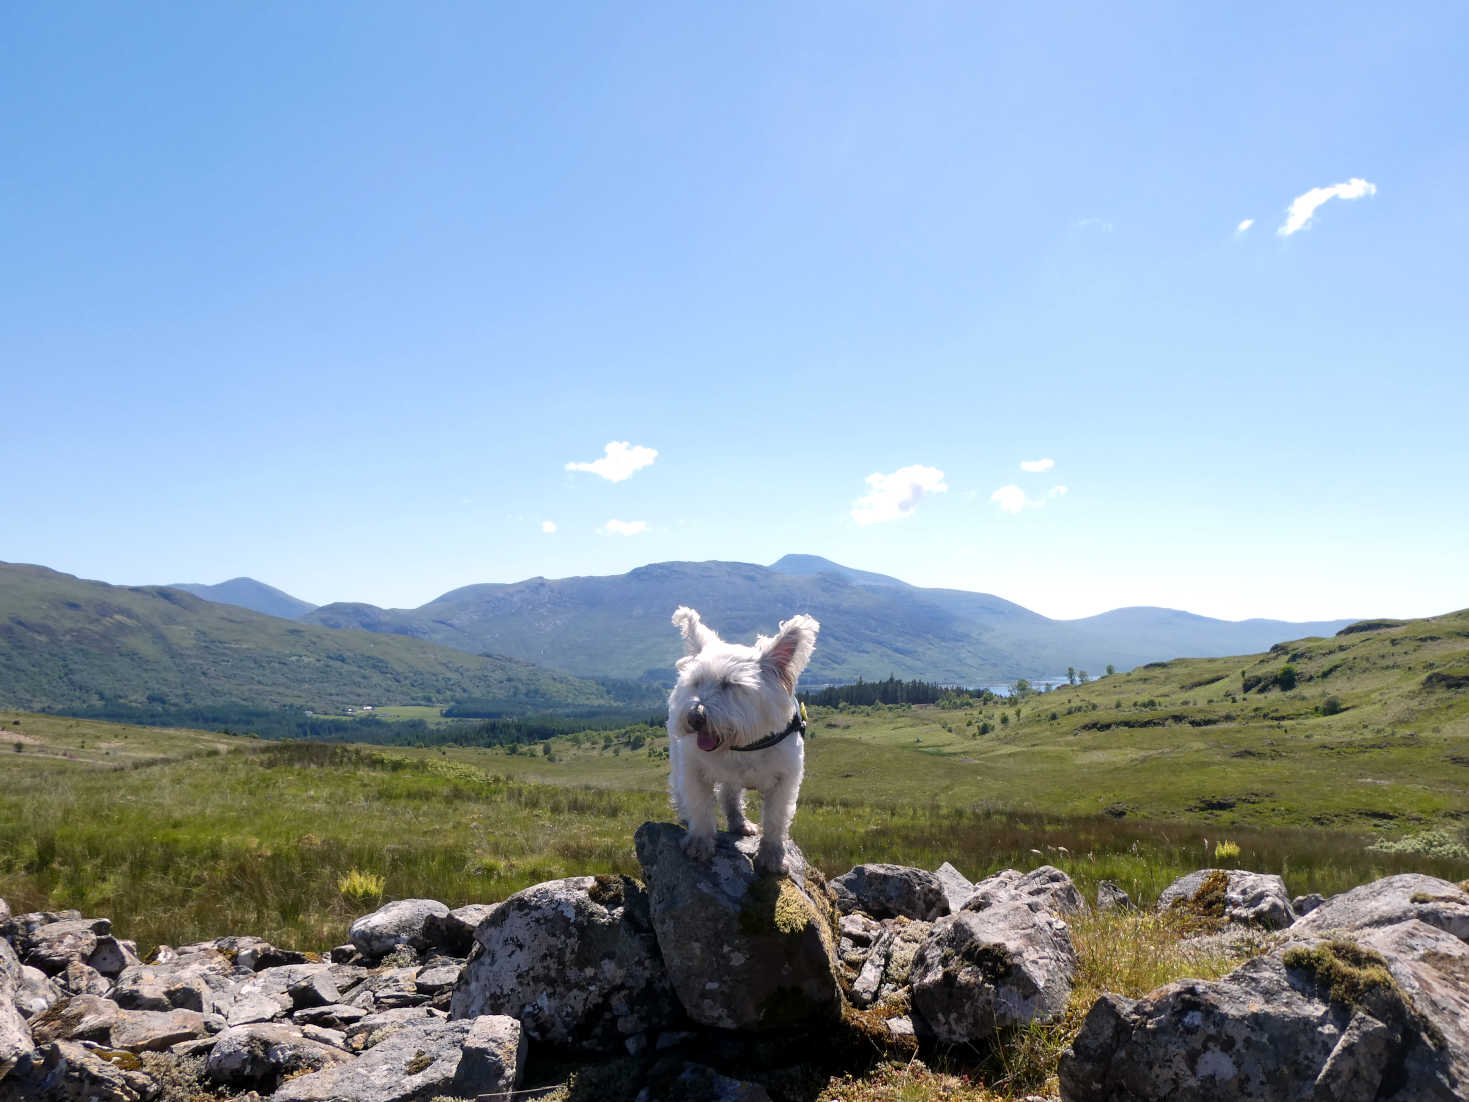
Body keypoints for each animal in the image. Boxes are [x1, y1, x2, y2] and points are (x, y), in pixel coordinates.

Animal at [663, 608, 816, 875]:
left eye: (730, 684)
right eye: (696, 682)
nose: (694, 717)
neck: (741, 746)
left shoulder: (785, 780)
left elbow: (776, 819)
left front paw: (772, 857)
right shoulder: (694, 770)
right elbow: (700, 806)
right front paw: (699, 843)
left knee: (730, 794)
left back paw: (740, 823)